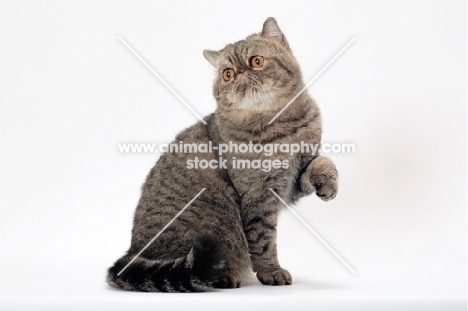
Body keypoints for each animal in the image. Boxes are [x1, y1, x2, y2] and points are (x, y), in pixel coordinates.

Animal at [108, 17, 338, 294]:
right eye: (228, 74)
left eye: (256, 61)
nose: (240, 74)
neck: (279, 126)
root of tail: (132, 254)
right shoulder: (259, 194)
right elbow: (263, 241)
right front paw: (271, 271)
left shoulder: (290, 180)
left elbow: (323, 161)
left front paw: (329, 183)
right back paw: (225, 277)